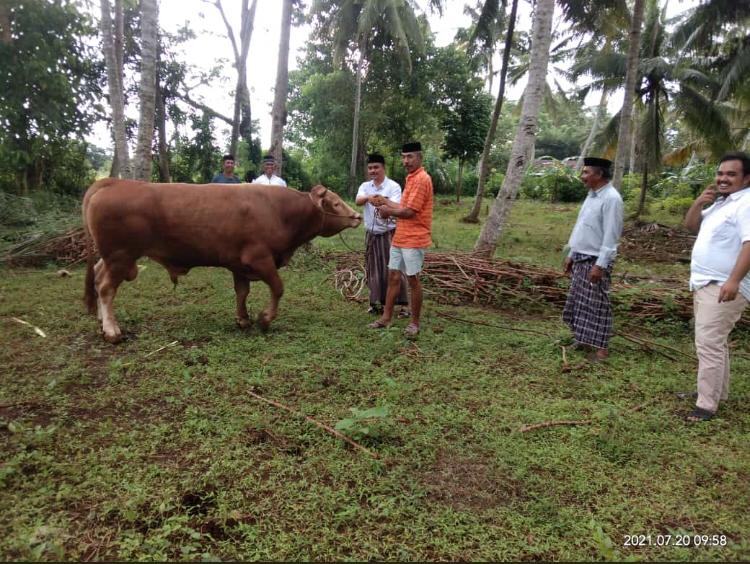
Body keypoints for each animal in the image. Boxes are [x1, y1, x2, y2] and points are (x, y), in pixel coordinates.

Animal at [82, 179, 362, 342]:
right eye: (335, 203)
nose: (358, 216)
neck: (278, 211)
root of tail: (114, 182)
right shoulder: (260, 258)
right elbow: (278, 288)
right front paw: (265, 319)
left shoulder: (239, 264)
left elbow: (242, 292)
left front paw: (243, 319)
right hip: (121, 256)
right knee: (106, 288)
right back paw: (111, 330)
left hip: (110, 257)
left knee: (97, 278)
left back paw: (101, 322)